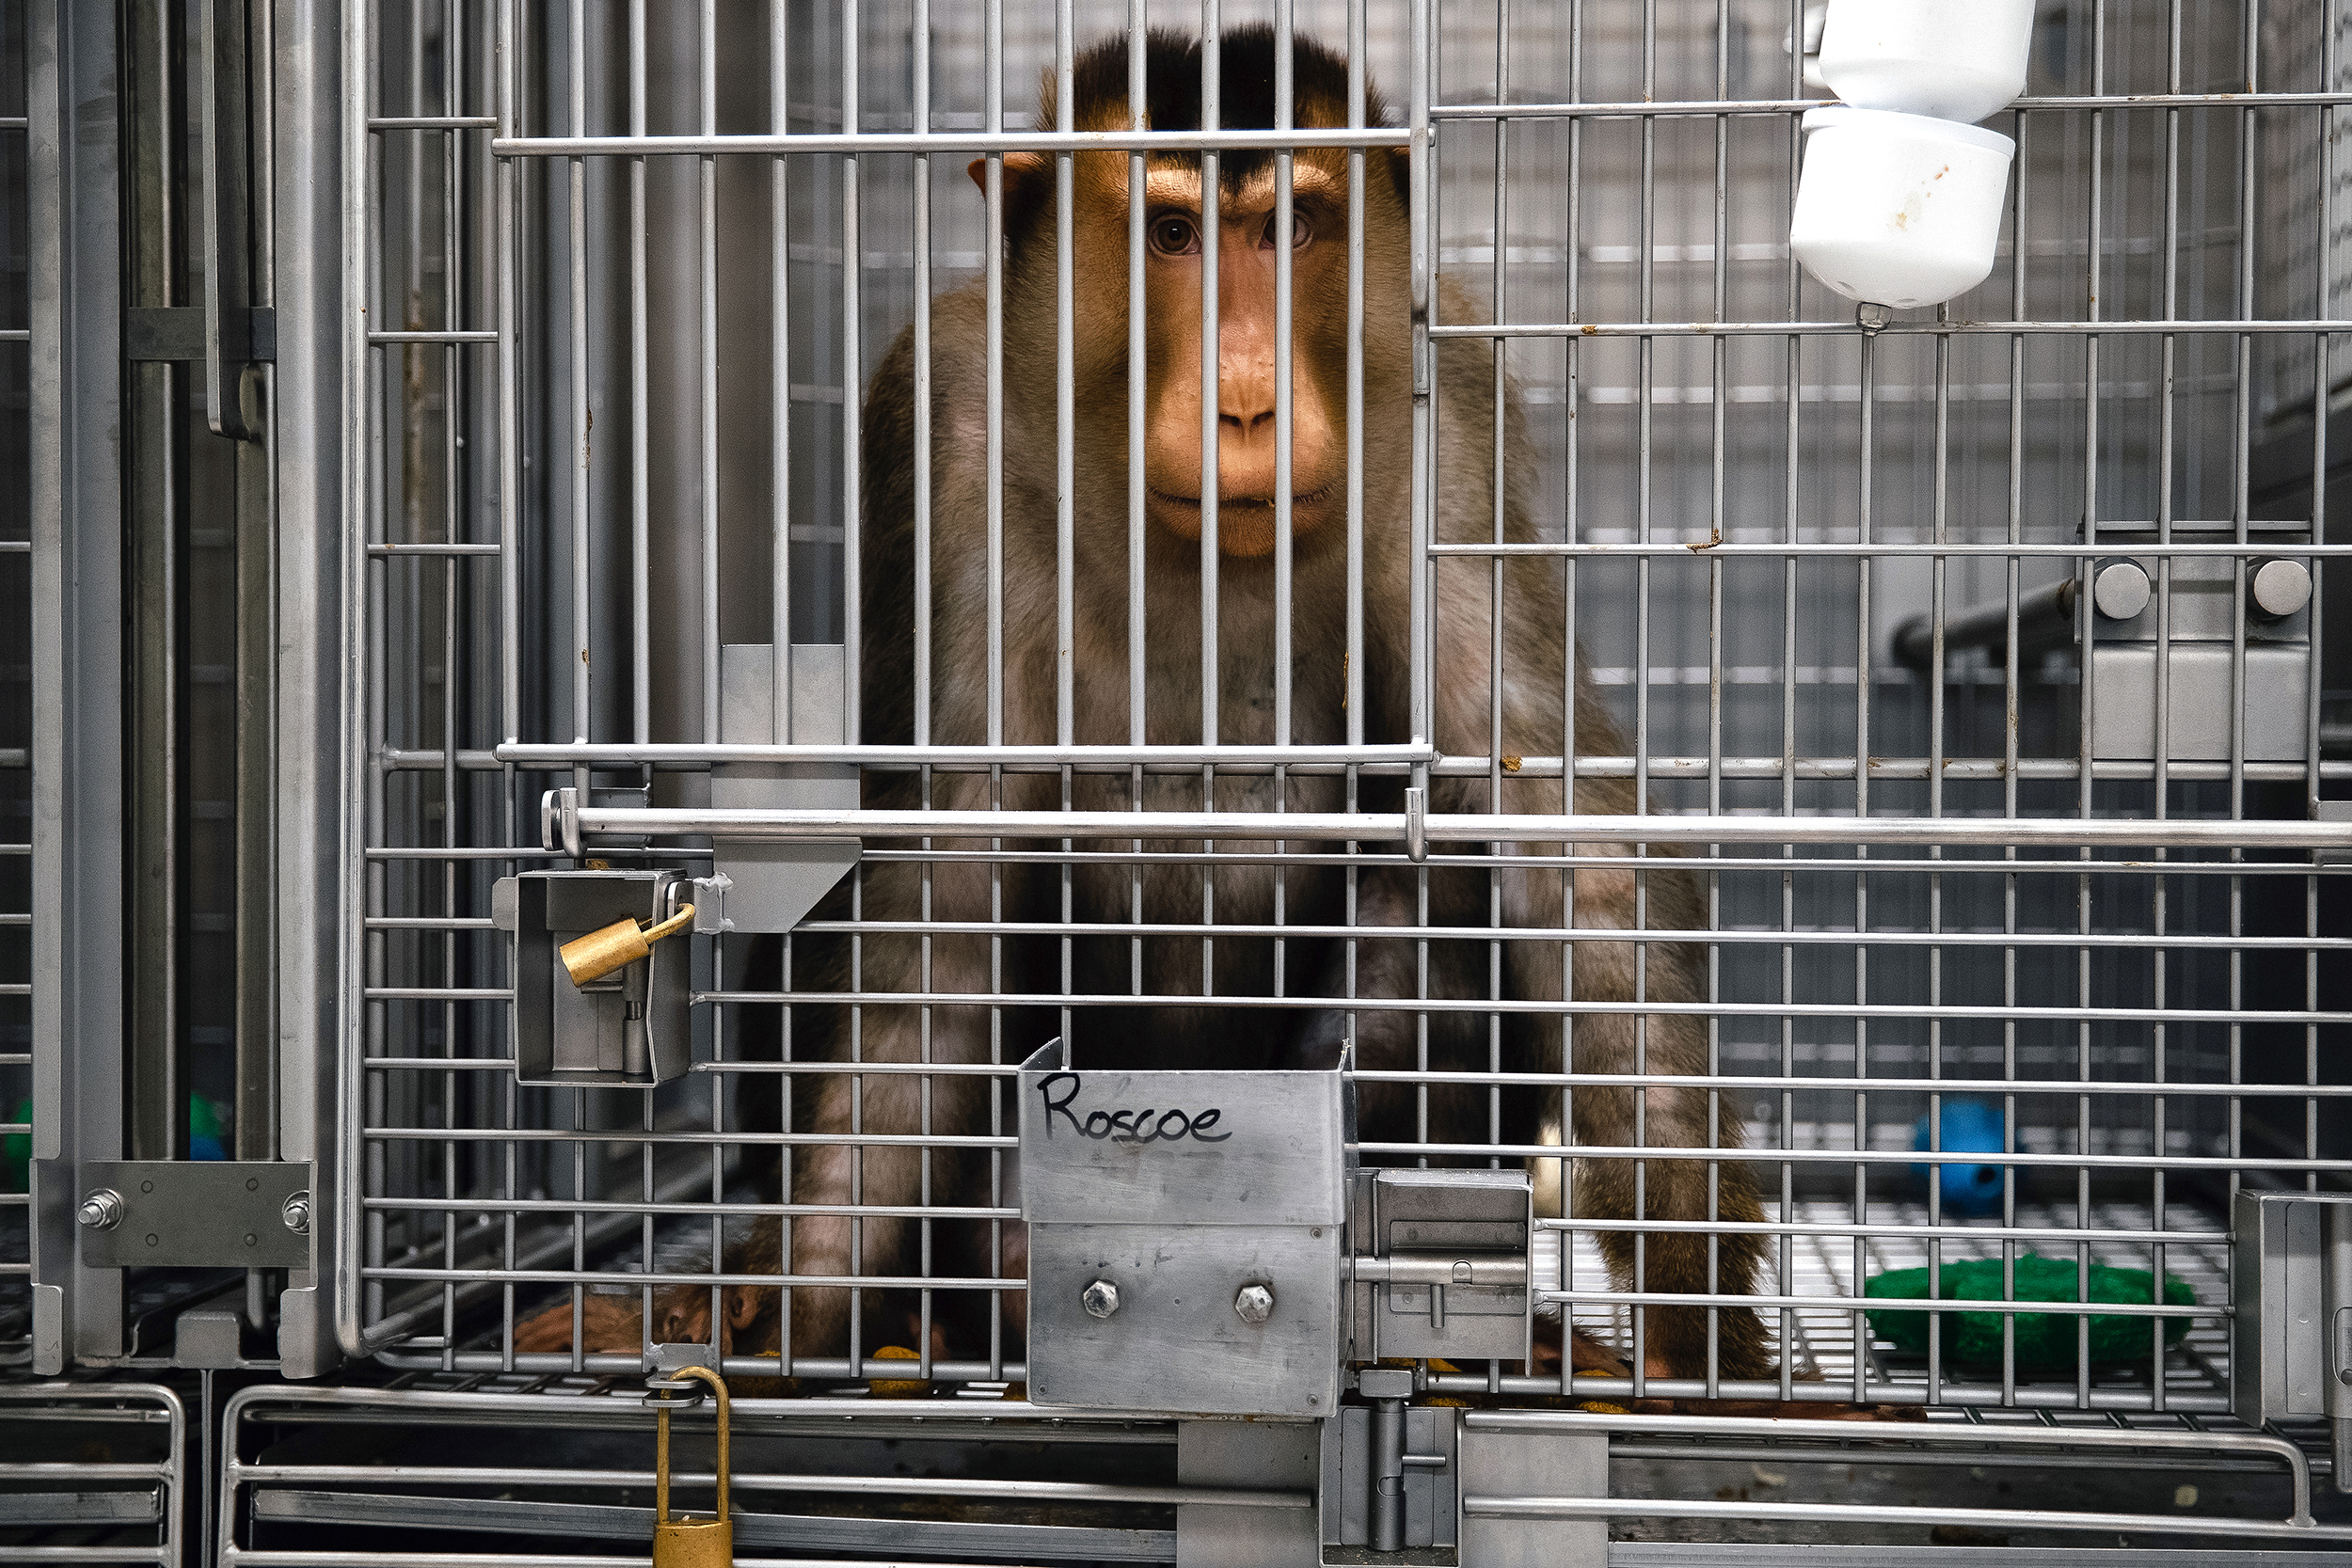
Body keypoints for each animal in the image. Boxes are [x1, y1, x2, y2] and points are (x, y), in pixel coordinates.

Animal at [517, 25, 1773, 1390]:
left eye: (1292, 228)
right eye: (1172, 236)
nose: (1247, 398)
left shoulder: (1453, 423)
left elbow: (1558, 829)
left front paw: (1707, 1336)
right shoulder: (948, 422)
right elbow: (938, 893)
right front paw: (800, 1293)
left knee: (1427, 885)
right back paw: (953, 1304)